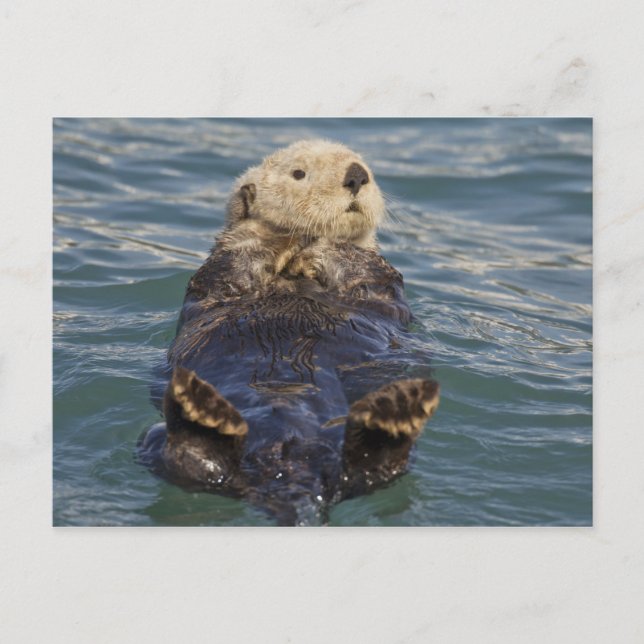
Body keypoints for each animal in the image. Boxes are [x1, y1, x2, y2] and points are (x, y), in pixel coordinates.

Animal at [139, 140, 440, 525]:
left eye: (365, 166)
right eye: (299, 173)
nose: (357, 175)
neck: (293, 276)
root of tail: (294, 470)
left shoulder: (378, 282)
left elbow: (362, 269)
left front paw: (323, 245)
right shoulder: (220, 276)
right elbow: (238, 261)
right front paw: (277, 237)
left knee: (373, 471)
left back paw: (394, 417)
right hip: (152, 439)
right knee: (191, 463)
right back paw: (200, 414)